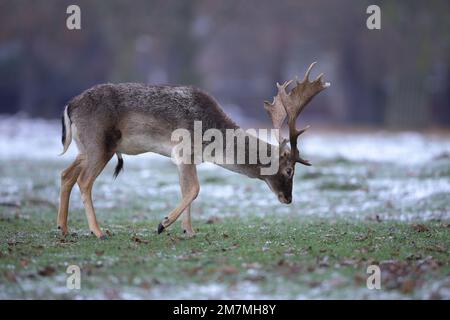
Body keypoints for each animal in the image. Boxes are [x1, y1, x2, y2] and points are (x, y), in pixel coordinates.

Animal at [58, 62, 328, 238]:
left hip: (84, 148)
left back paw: (63, 227)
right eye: (289, 170)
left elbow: (186, 189)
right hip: (98, 144)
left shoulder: (188, 158)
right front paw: (163, 224)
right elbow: (195, 189)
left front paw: (188, 230)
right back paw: (98, 231)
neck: (211, 140)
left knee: (66, 174)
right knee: (84, 181)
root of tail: (70, 106)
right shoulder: (182, 149)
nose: (288, 199)